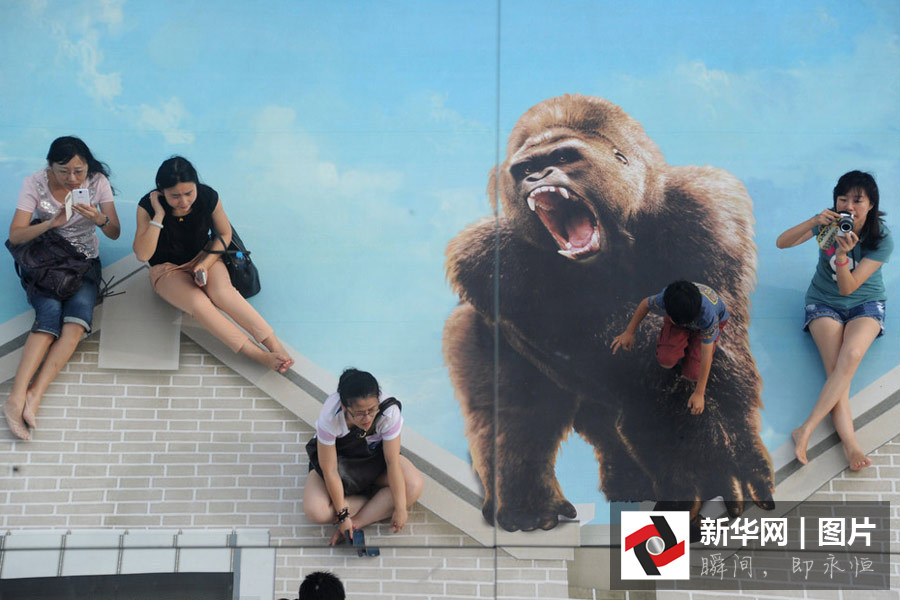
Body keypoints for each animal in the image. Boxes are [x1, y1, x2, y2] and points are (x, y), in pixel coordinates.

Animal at [443, 94, 775, 532]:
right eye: (525, 170)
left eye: (563, 157)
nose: (538, 177)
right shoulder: (488, 257)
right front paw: (706, 452)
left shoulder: (709, 210)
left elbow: (715, 347)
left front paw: (727, 450)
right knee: (513, 404)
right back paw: (528, 503)